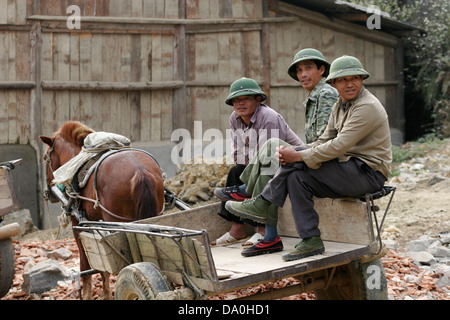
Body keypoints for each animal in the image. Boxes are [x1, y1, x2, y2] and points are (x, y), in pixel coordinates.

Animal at [39, 122, 164, 300]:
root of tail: (141, 171)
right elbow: (103, 266)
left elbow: (86, 263)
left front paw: (87, 294)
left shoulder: (79, 225)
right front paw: (106, 294)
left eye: (45, 158)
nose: (48, 192)